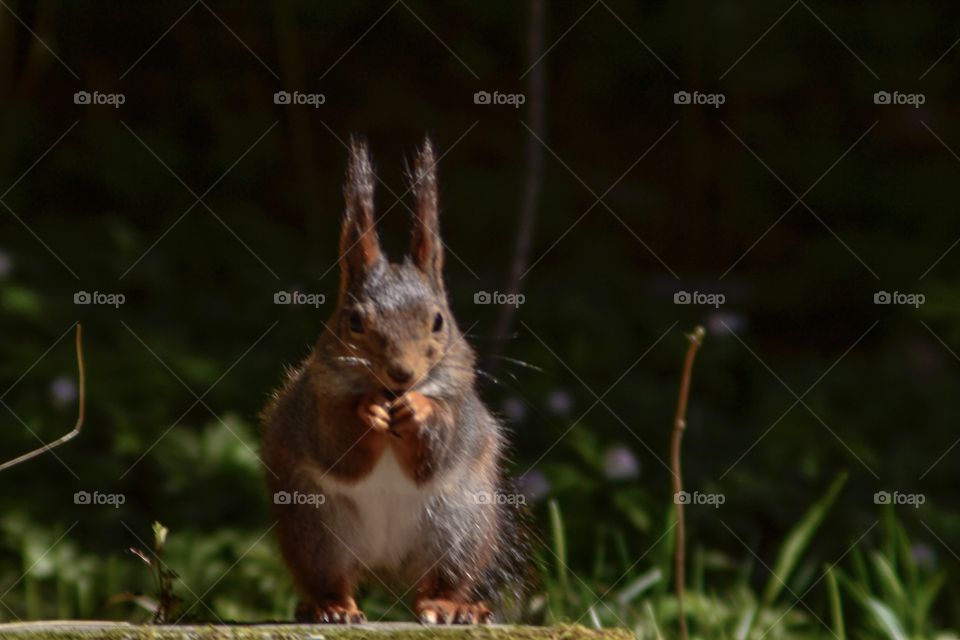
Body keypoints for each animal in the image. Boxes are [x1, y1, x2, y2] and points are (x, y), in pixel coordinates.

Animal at [260, 138, 524, 624]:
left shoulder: (459, 408)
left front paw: (419, 411)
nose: (402, 374)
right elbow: (338, 451)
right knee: (330, 574)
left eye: (439, 320)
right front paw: (367, 412)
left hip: (460, 525)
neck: (389, 393)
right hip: (315, 527)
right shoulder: (316, 404)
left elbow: (434, 457)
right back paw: (332, 606)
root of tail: (383, 564)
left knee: (440, 580)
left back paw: (449, 605)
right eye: (355, 321)